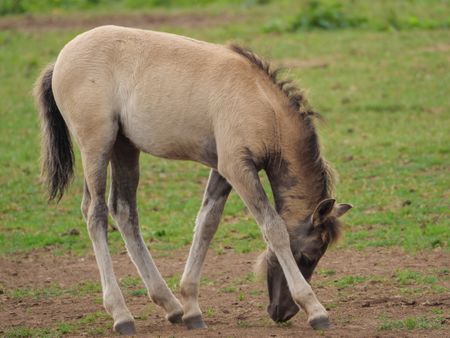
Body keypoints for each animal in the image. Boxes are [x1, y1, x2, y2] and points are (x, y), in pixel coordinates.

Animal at [34, 25, 352, 334]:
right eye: (308, 256)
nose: (281, 312)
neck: (262, 102)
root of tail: (59, 60)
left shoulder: (223, 170)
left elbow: (207, 224)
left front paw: (191, 307)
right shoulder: (237, 167)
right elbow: (274, 229)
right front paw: (315, 309)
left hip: (125, 148)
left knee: (123, 211)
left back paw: (171, 305)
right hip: (97, 147)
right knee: (96, 213)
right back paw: (121, 315)